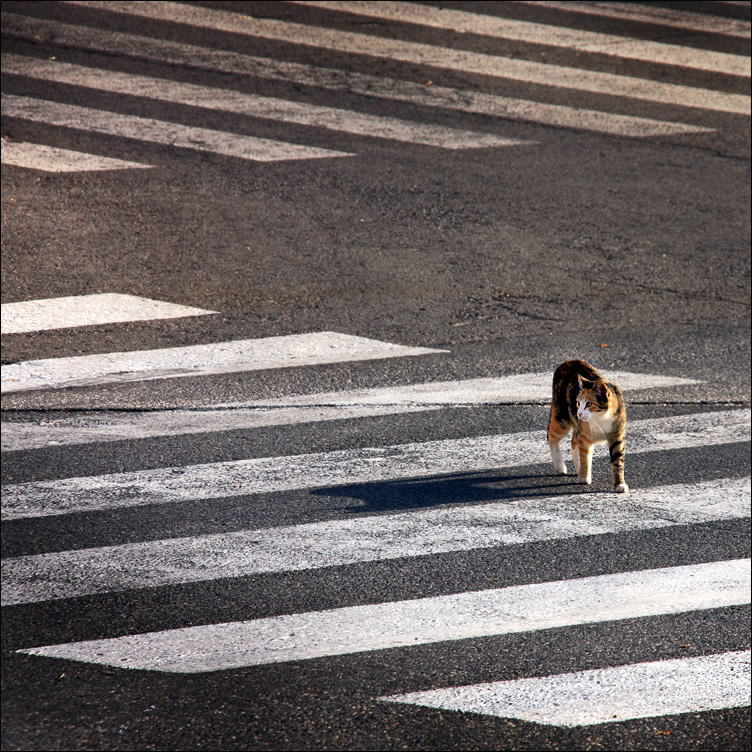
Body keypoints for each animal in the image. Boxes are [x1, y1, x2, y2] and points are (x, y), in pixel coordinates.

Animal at [548, 358, 628, 494]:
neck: (602, 418)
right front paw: (584, 478)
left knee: (574, 441)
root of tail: (570, 361)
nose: (579, 413)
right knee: (552, 437)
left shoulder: (617, 437)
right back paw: (560, 466)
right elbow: (585, 457)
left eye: (589, 404)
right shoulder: (585, 436)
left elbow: (618, 461)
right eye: (578, 403)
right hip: (561, 418)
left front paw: (619, 484)